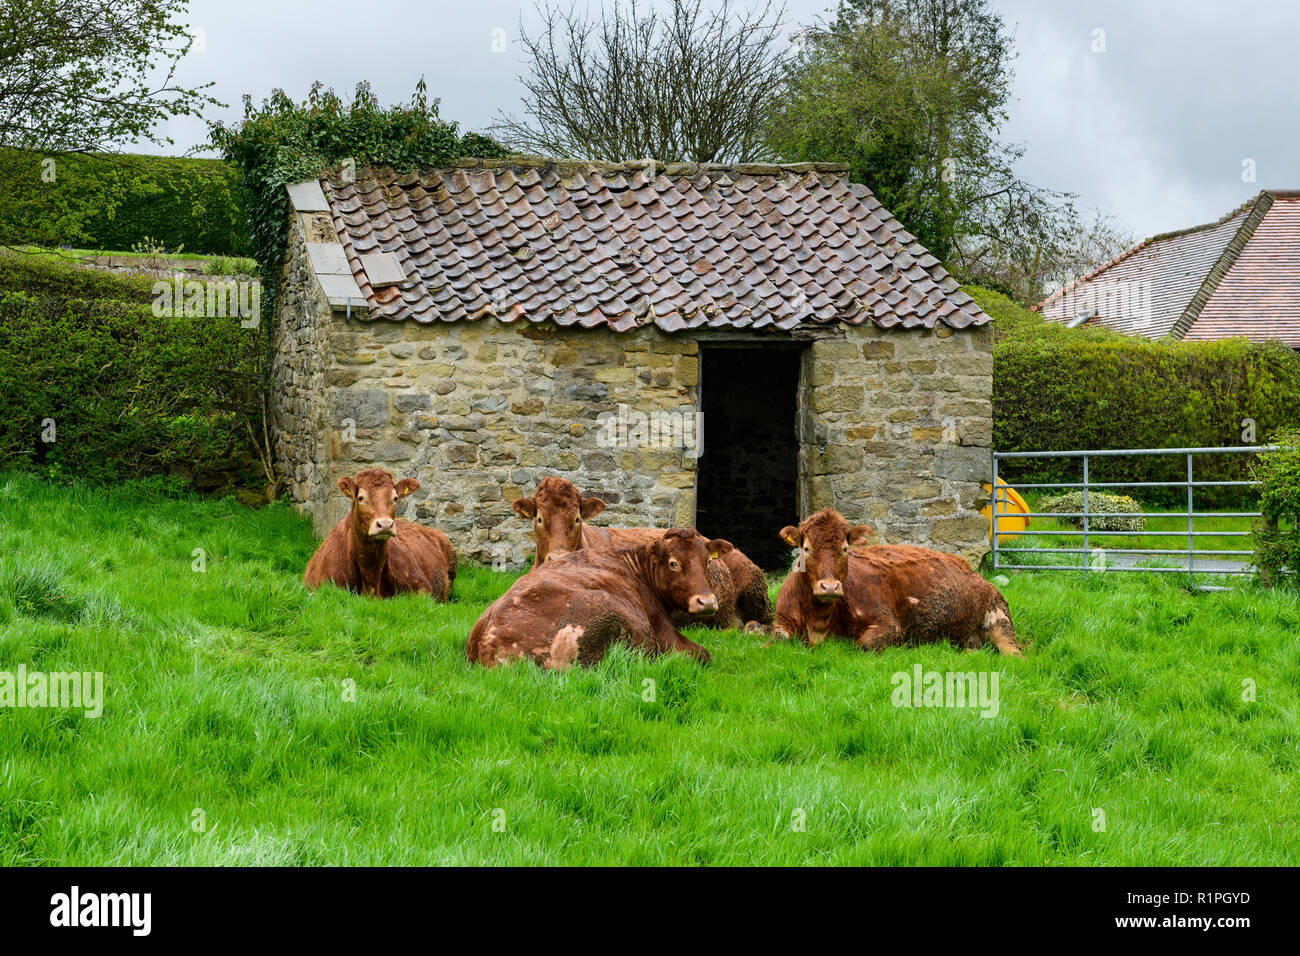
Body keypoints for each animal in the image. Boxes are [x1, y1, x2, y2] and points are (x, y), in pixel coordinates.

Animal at [467, 529, 733, 668]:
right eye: (673, 563)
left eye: (708, 561)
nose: (707, 602)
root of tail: (487, 642)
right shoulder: (664, 630)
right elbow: (702, 654)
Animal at [772, 508, 1021, 656]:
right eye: (806, 548)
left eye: (845, 548)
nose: (830, 586)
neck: (819, 621)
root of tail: (970, 569)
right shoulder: (782, 620)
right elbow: (777, 638)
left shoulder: (890, 624)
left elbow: (864, 644)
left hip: (999, 616)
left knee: (1013, 652)